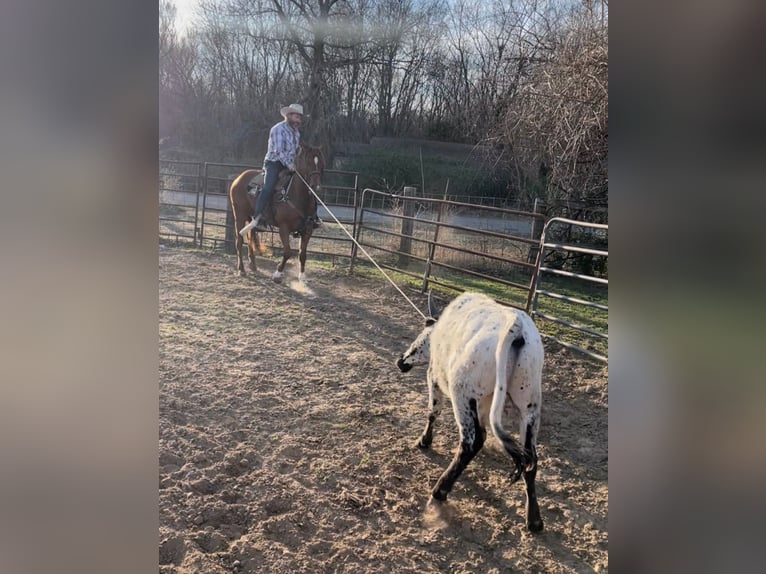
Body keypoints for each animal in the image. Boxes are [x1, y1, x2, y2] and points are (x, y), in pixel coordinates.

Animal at [229, 144, 325, 282]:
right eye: (308, 163)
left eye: (322, 164)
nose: (316, 187)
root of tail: (238, 178)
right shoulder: (284, 228)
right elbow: (287, 252)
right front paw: (277, 274)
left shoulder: (308, 229)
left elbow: (302, 254)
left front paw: (302, 277)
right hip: (239, 215)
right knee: (239, 241)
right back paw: (241, 269)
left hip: (251, 217)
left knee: (250, 237)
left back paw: (253, 265)